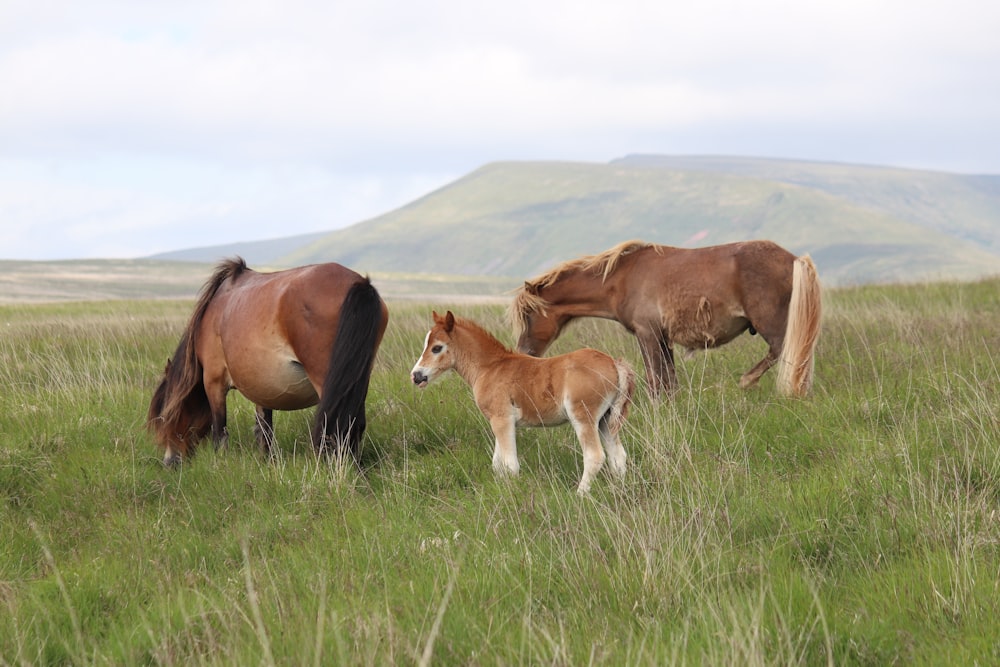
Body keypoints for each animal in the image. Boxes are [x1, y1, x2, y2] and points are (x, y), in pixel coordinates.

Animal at [148, 258, 390, 468]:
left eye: (165, 418)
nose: (169, 463)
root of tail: (359, 283)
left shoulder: (213, 381)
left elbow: (220, 432)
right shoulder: (262, 388)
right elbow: (264, 430)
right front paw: (266, 462)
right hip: (356, 381)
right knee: (354, 424)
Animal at [412, 310, 632, 494]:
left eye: (437, 348)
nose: (416, 375)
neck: (490, 367)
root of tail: (614, 363)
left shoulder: (502, 419)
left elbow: (510, 465)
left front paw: (513, 494)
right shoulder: (501, 421)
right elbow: (498, 464)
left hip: (583, 417)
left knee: (595, 456)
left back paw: (580, 495)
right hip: (606, 420)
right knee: (618, 457)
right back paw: (618, 491)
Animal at [512, 240, 824, 396]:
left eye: (528, 314)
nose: (524, 352)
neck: (621, 277)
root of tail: (794, 259)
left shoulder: (647, 334)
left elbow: (654, 379)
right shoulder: (663, 339)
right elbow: (669, 380)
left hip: (771, 323)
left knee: (784, 350)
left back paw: (752, 381)